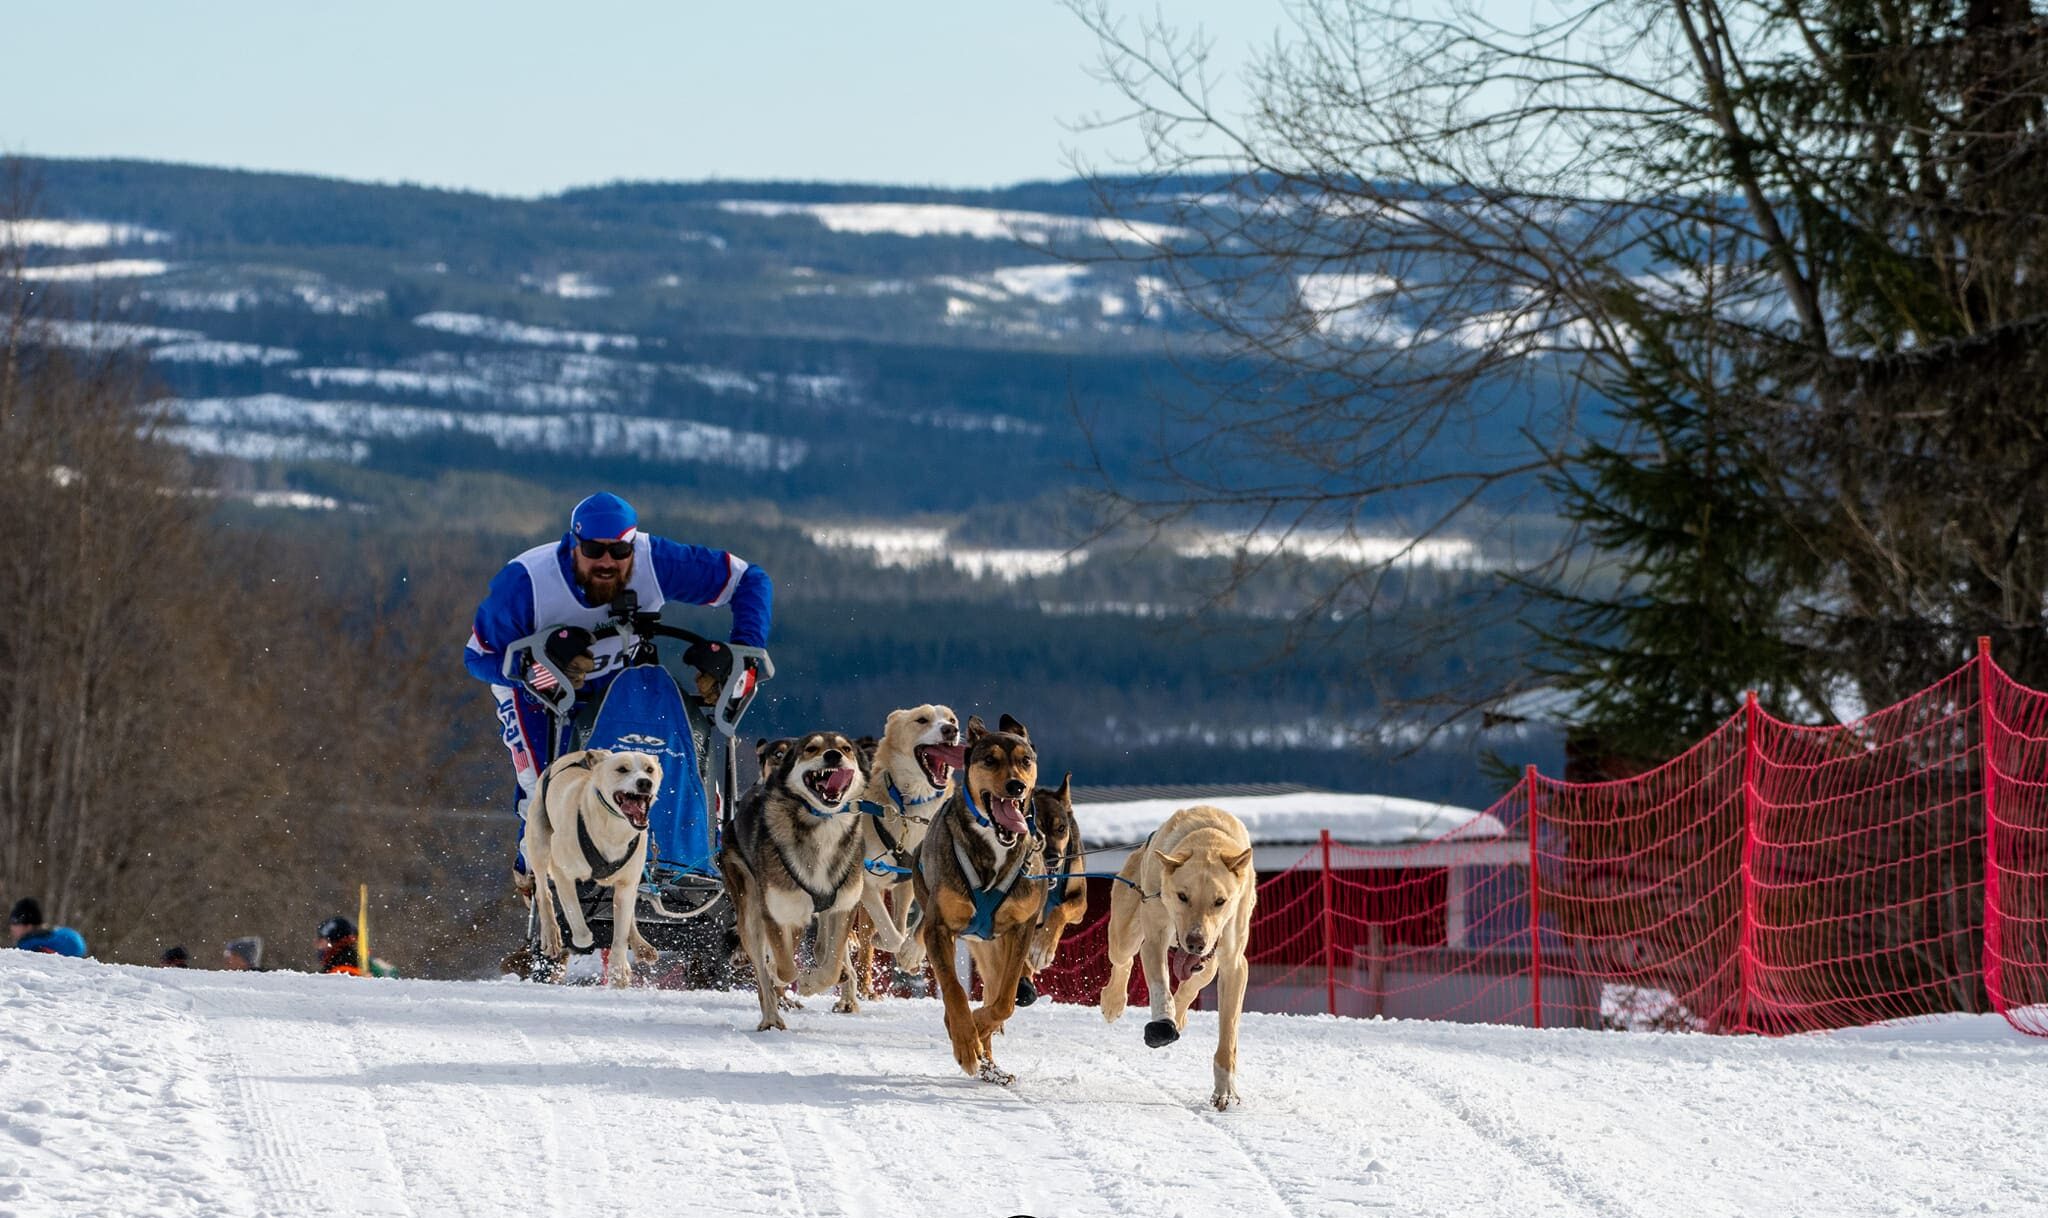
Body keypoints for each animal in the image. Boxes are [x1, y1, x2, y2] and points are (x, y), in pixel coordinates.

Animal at [528, 745, 663, 990]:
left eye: (649, 769)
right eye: (622, 769)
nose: (645, 782)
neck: (613, 829)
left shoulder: (627, 884)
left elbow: (620, 935)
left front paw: (620, 971)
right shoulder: (563, 875)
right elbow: (579, 925)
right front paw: (583, 942)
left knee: (628, 916)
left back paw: (640, 945)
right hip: (539, 844)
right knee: (543, 893)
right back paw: (551, 935)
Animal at [716, 732, 868, 1027]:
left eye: (846, 748)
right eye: (810, 749)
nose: (833, 755)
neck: (822, 828)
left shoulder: (843, 908)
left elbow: (831, 966)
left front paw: (815, 981)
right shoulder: (776, 913)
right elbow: (784, 968)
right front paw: (784, 976)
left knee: (823, 951)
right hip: (752, 910)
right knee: (764, 974)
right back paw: (771, 1018)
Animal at [913, 716, 1040, 1089]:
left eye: (1025, 760)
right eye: (990, 760)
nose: (1015, 786)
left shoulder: (1022, 928)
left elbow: (1005, 1002)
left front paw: (979, 1027)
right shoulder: (938, 929)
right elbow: (954, 991)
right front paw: (965, 1040)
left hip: (994, 951)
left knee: (998, 993)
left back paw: (990, 1062)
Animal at [1097, 806, 1253, 1113]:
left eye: (1220, 901)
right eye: (1182, 896)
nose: (1195, 941)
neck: (1207, 841)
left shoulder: (1234, 963)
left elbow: (1228, 1035)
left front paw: (1225, 1092)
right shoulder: (1154, 942)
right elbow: (1160, 989)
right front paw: (1162, 1026)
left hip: (1211, 959)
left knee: (1194, 981)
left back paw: (1179, 1012)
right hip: (1125, 934)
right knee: (1123, 961)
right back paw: (1114, 1001)